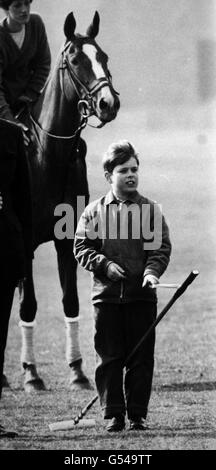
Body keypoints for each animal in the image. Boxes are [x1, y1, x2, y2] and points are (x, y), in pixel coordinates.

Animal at [15, 11, 120, 392]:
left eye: (103, 56)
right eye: (75, 60)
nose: (108, 103)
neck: (46, 156)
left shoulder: (66, 242)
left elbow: (70, 300)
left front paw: (77, 370)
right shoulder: (25, 243)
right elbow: (29, 305)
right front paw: (31, 374)